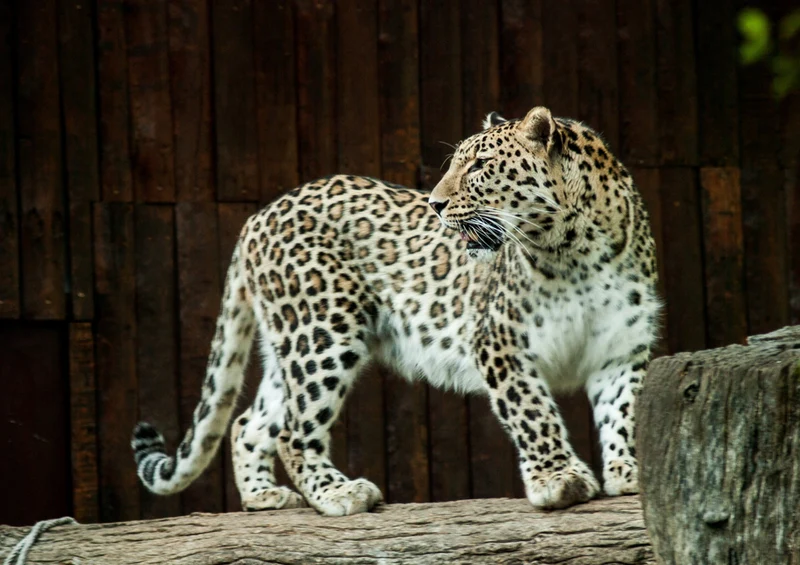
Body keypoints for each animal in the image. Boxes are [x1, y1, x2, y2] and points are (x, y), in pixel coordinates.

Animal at [132, 106, 661, 516]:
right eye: (457, 163)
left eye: (480, 165)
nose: (436, 204)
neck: (576, 250)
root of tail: (257, 217)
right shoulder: (500, 343)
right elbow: (532, 412)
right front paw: (559, 478)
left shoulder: (622, 346)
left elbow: (624, 410)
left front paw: (629, 470)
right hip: (323, 333)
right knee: (295, 431)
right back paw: (338, 493)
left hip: (293, 341)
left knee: (252, 423)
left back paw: (264, 496)